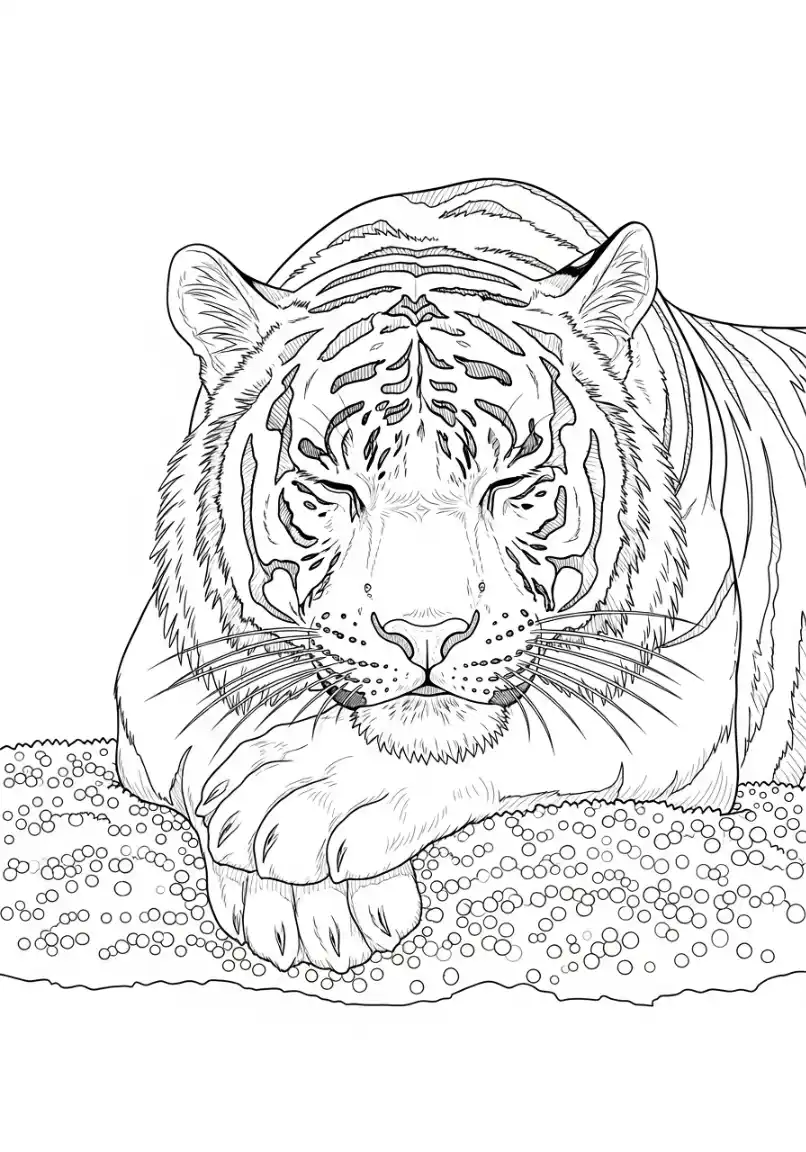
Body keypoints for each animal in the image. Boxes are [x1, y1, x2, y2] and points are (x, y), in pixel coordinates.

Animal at [115, 178, 806, 973]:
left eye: (513, 483)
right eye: (333, 487)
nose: (425, 635)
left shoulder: (677, 681)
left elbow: (540, 738)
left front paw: (301, 814)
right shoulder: (162, 668)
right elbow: (200, 743)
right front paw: (302, 901)